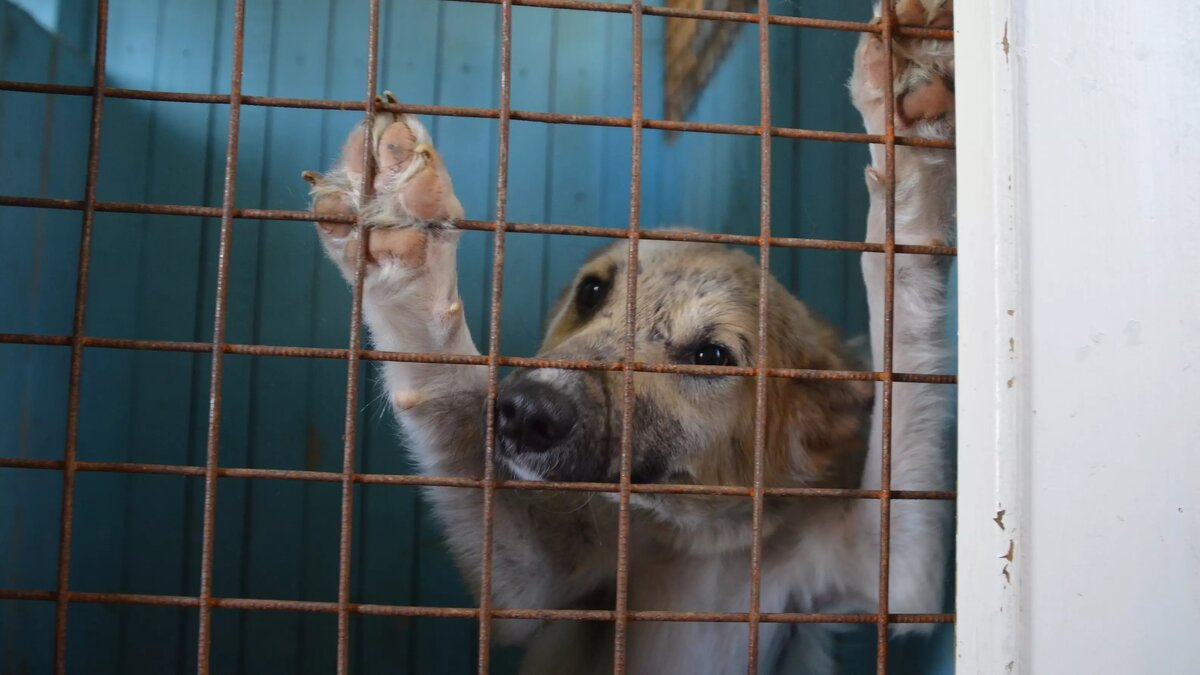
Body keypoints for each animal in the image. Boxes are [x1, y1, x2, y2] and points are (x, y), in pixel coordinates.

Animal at [302, 2, 955, 667]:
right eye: (592, 292)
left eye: (711, 355)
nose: (523, 411)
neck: (697, 544)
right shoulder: (532, 587)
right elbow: (449, 400)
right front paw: (401, 239)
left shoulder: (893, 571)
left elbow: (901, 303)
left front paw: (911, 132)